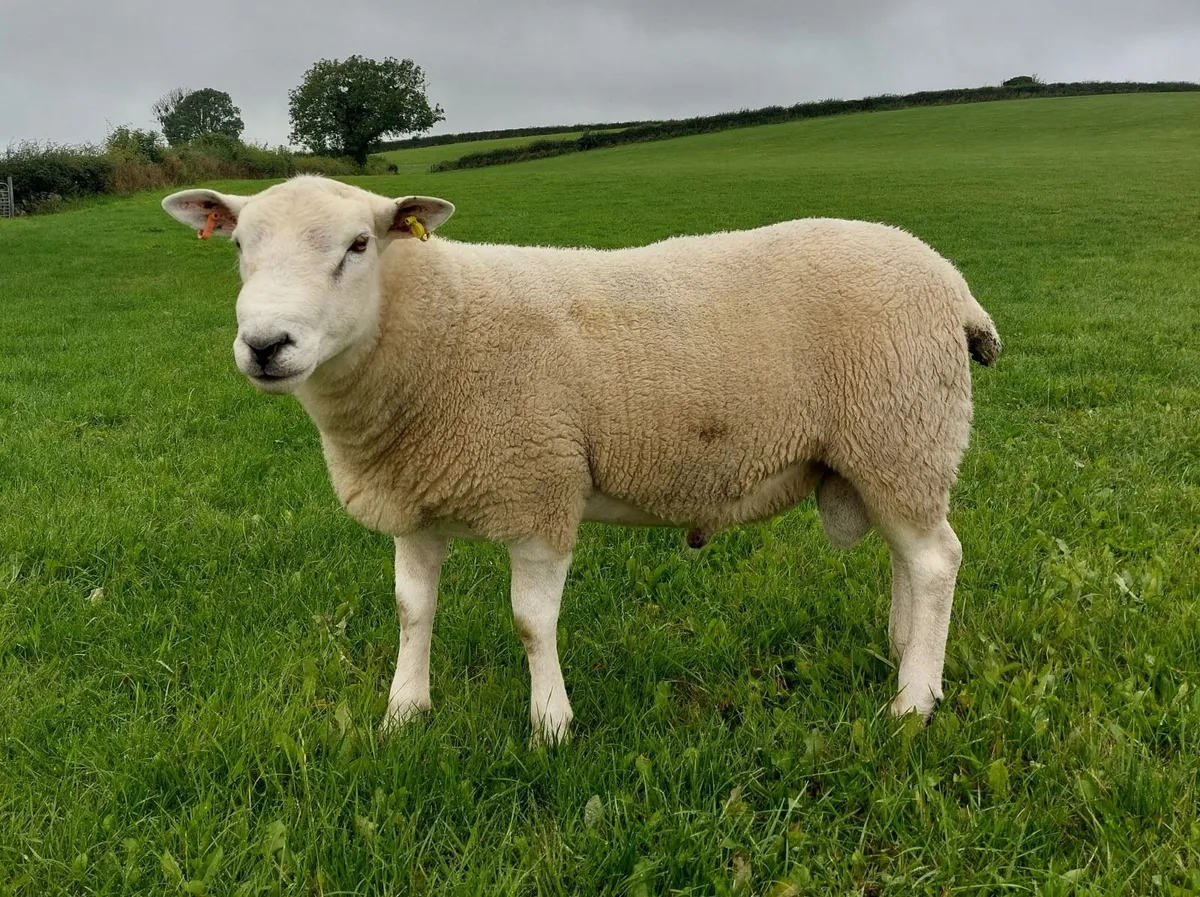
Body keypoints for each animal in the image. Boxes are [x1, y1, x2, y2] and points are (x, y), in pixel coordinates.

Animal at [162, 175, 1001, 745]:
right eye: (238, 248)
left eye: (359, 245)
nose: (265, 345)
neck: (432, 329)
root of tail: (954, 284)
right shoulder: (416, 499)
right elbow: (411, 609)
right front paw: (404, 711)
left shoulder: (540, 486)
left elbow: (531, 621)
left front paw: (551, 724)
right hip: (886, 450)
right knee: (910, 559)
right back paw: (907, 655)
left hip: (901, 432)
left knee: (936, 560)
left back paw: (913, 700)